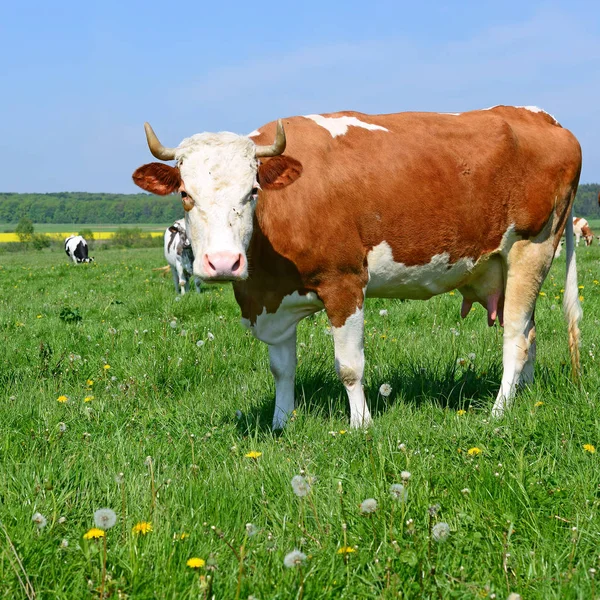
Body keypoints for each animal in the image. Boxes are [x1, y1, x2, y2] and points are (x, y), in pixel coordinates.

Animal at [132, 105, 580, 428]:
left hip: (532, 247)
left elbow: (349, 366)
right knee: (531, 332)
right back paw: (526, 396)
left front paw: (361, 425)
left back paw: (499, 411)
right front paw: (281, 424)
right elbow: (281, 368)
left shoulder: (344, 283)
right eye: (185, 194)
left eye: (253, 190)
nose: (223, 263)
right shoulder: (272, 299)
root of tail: (544, 117)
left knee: (516, 338)